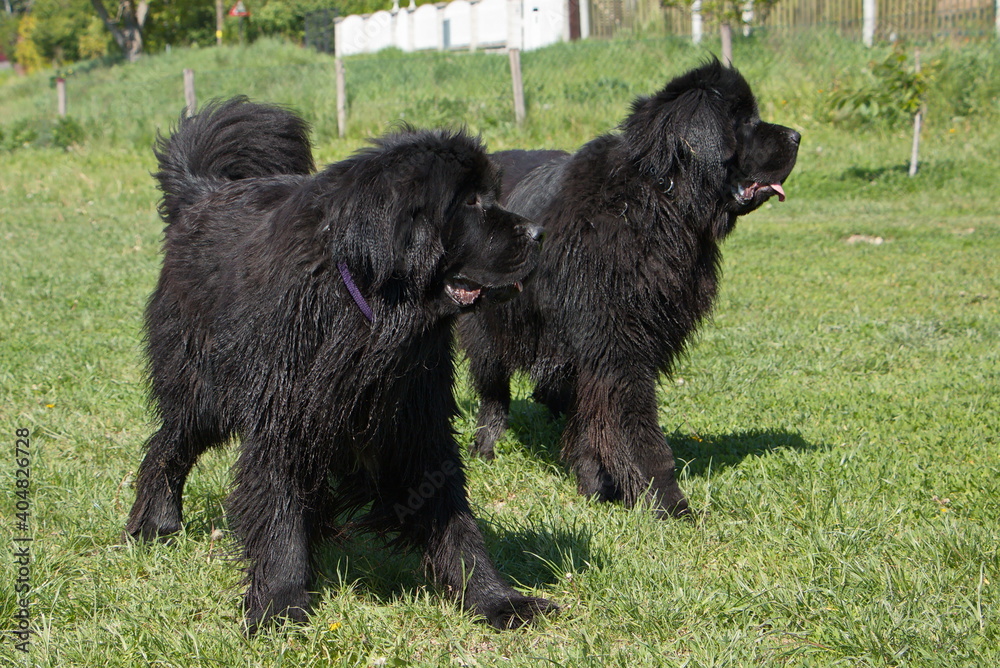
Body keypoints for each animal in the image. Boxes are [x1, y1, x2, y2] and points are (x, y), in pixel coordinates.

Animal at [123, 98, 556, 632]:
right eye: (471, 203)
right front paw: (280, 602)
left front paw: (497, 599)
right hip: (203, 387)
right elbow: (278, 507)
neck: (369, 308)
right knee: (170, 443)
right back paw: (156, 522)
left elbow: (453, 517)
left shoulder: (416, 420)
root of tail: (203, 193)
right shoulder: (285, 414)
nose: (539, 232)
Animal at [458, 61, 796, 516]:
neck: (655, 201)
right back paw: (485, 448)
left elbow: (593, 423)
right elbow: (634, 429)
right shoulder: (617, 345)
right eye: (744, 121)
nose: (797, 136)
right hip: (489, 327)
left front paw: (595, 487)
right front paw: (667, 504)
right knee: (493, 392)